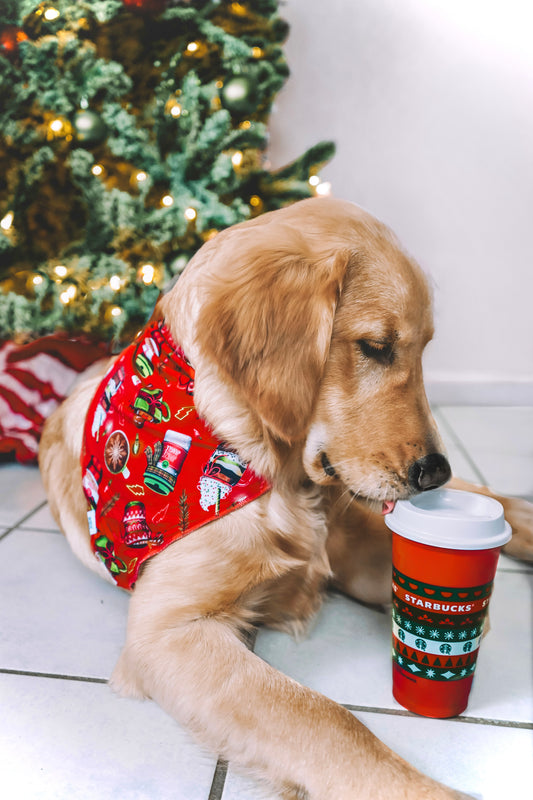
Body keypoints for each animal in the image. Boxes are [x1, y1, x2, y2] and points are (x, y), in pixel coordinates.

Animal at [39, 195, 528, 800]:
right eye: (376, 347)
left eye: (423, 351)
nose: (436, 472)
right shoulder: (169, 632)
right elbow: (329, 720)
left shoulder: (350, 544)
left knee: (491, 499)